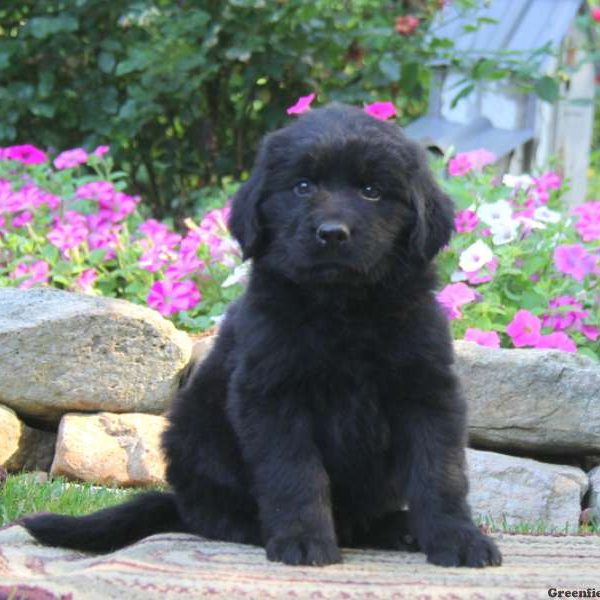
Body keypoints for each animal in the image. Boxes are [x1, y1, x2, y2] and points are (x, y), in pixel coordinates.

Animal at [22, 103, 502, 568]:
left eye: (372, 190)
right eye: (303, 186)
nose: (331, 233)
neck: (342, 312)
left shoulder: (426, 390)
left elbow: (440, 474)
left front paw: (459, 539)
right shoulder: (273, 394)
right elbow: (294, 473)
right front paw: (304, 541)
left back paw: (398, 528)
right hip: (195, 438)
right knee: (216, 515)